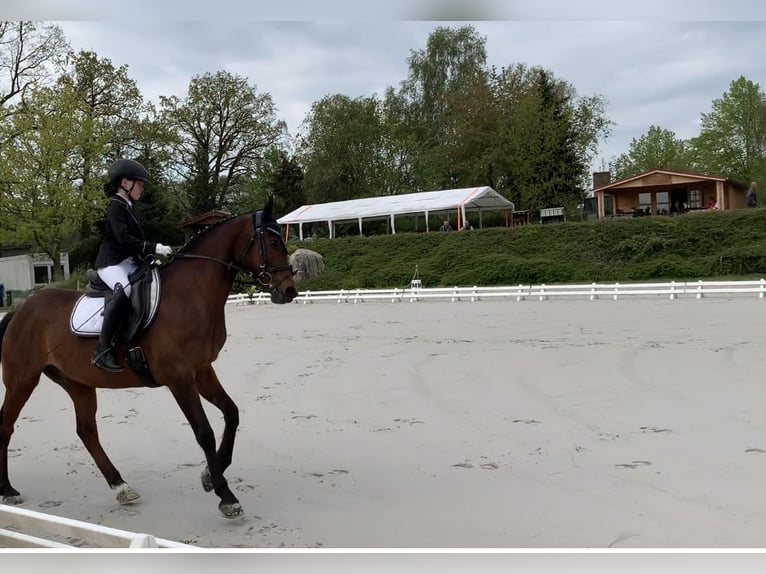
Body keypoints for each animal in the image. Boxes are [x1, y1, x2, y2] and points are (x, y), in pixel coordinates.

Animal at [0, 200, 296, 520]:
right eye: (272, 242)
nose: (289, 290)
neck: (191, 294)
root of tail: (21, 310)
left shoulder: (202, 371)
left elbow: (232, 414)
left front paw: (209, 475)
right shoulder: (180, 378)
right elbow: (204, 432)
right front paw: (225, 496)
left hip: (78, 382)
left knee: (87, 431)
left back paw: (121, 487)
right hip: (22, 380)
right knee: (7, 424)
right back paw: (8, 489)